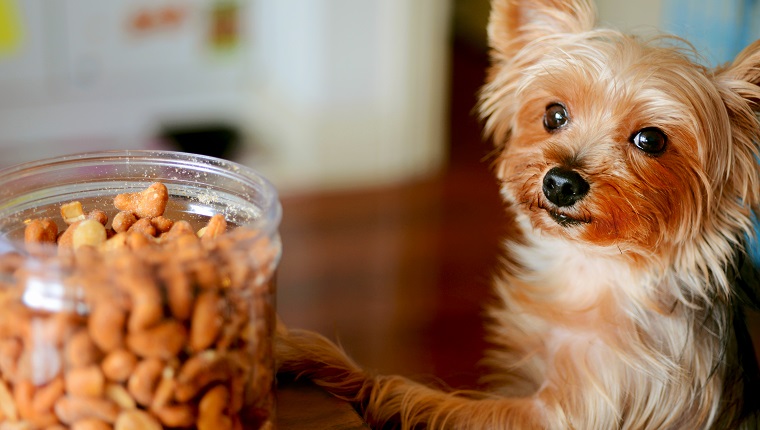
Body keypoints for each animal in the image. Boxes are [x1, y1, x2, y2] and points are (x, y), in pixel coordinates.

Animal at [276, 1, 760, 428]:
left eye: (651, 140)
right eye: (554, 114)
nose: (560, 182)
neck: (596, 268)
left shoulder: (577, 408)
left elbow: (406, 392)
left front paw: (313, 355)